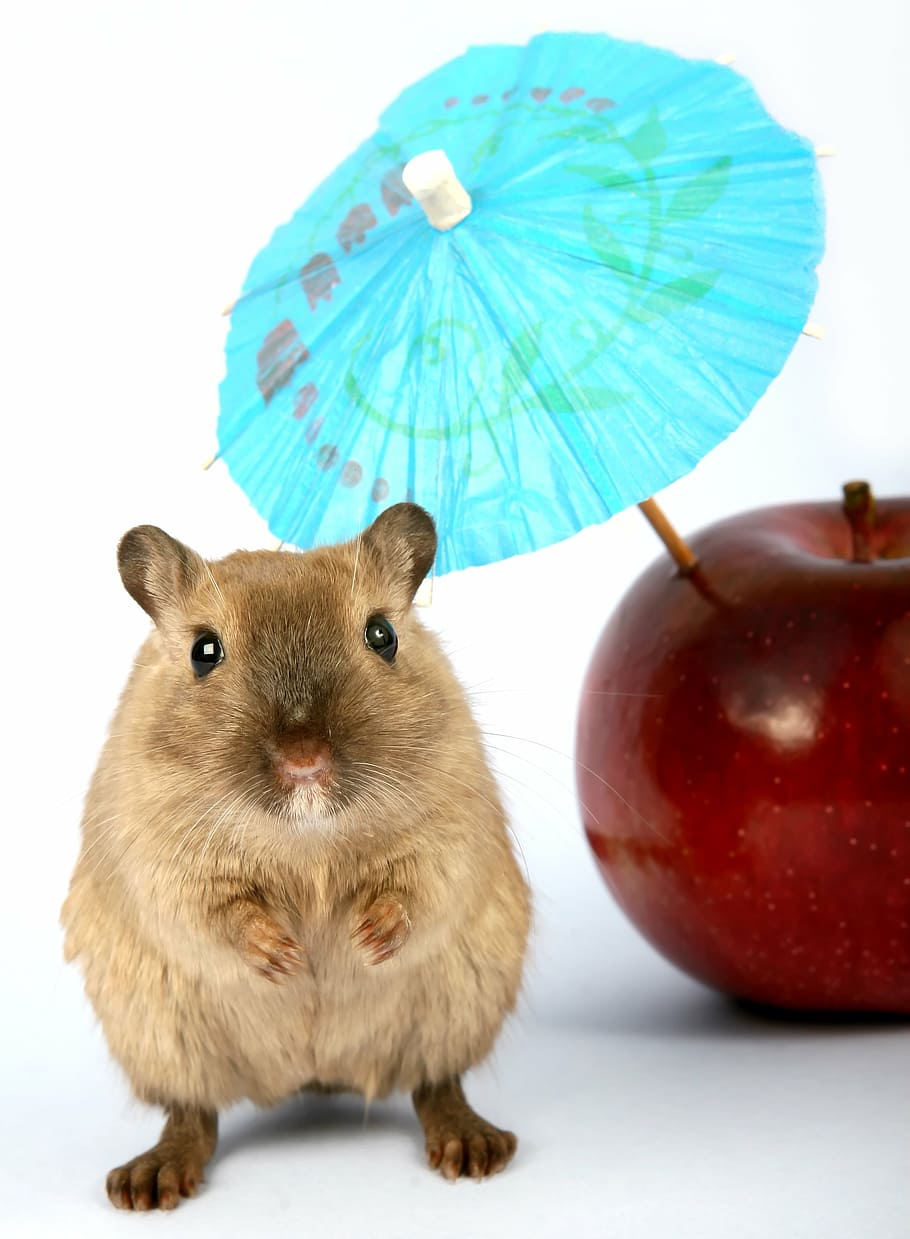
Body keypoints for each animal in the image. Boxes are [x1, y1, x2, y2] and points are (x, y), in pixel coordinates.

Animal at [62, 503, 531, 1210]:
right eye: (203, 652)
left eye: (383, 635)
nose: (305, 761)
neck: (306, 835)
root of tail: (316, 1073)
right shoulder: (160, 860)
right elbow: (214, 912)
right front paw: (284, 957)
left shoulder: (453, 826)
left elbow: (420, 888)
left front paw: (368, 936)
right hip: (162, 1039)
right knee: (192, 1113)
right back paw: (149, 1182)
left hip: (457, 1011)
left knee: (435, 1083)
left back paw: (473, 1146)